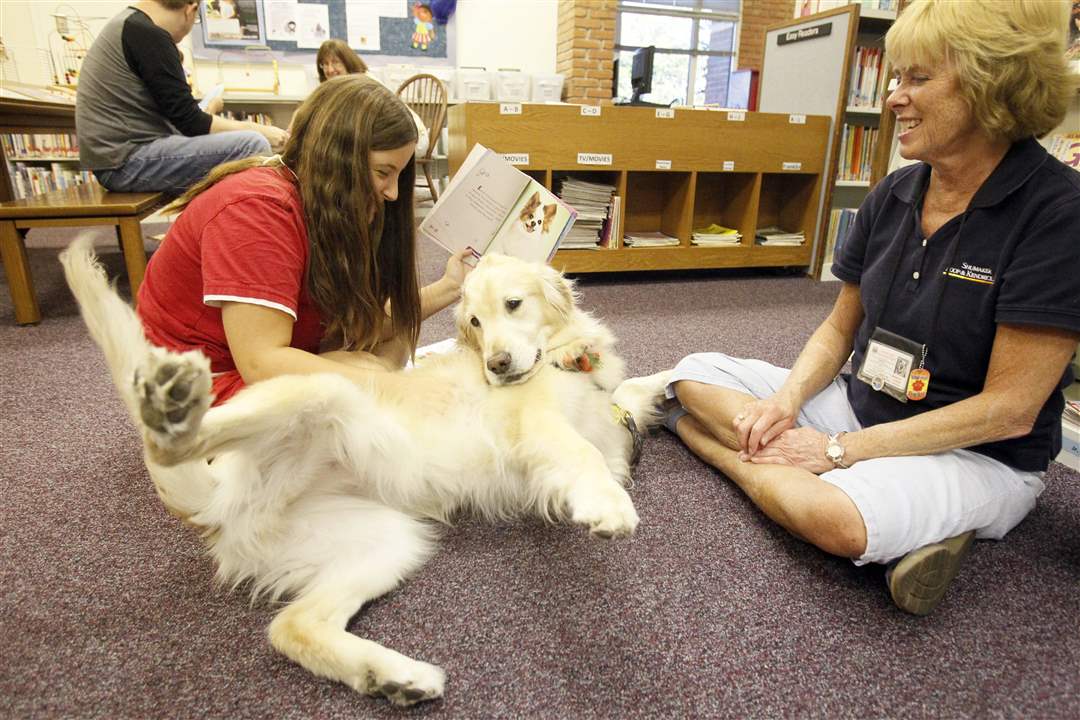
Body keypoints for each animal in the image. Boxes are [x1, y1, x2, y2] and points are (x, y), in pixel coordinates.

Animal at [59, 243, 669, 708]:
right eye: (474, 322)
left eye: (513, 304)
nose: (496, 365)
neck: (565, 362)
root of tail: (219, 501)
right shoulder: (535, 425)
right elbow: (583, 453)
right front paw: (609, 506)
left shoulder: (608, 420)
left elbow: (631, 393)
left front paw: (666, 384)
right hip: (322, 394)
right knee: (167, 445)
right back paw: (169, 406)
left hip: (386, 540)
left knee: (291, 627)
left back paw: (394, 677)